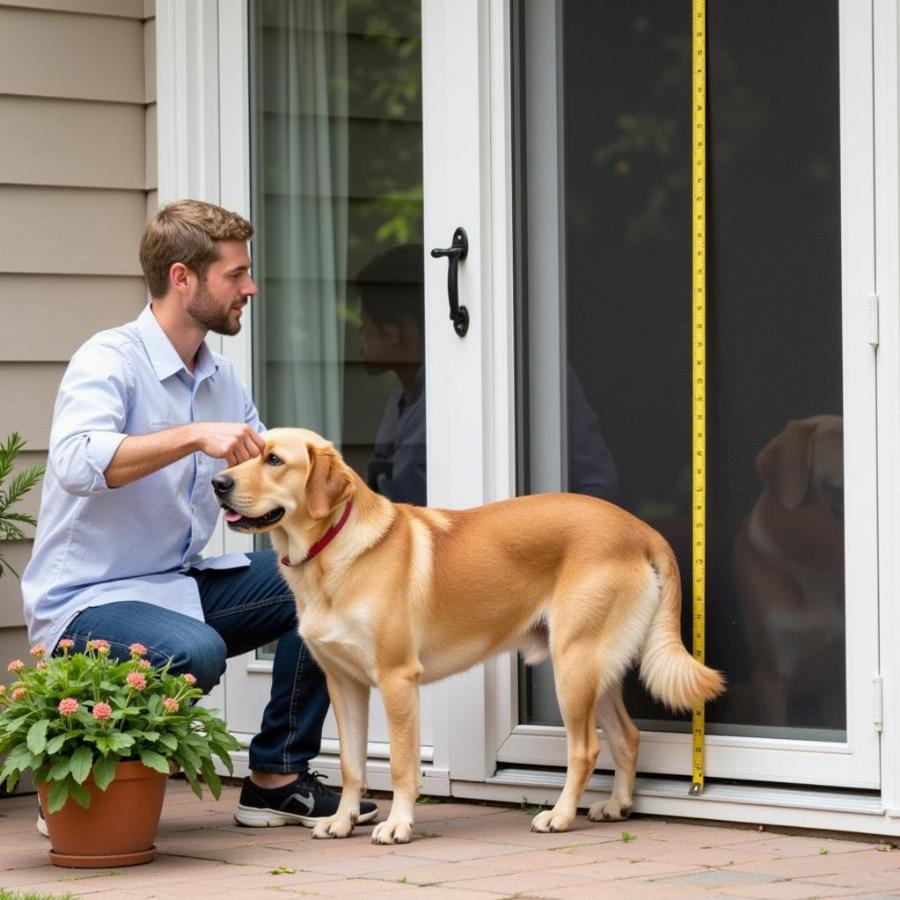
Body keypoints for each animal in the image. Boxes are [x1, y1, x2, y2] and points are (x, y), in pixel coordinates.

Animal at [214, 428, 728, 844]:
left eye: (273, 459)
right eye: (242, 456)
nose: (219, 483)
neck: (329, 555)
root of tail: (638, 528)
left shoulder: (397, 680)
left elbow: (400, 765)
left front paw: (399, 824)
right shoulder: (345, 684)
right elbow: (351, 764)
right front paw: (343, 821)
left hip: (574, 665)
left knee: (586, 748)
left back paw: (560, 816)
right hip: (595, 669)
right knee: (626, 736)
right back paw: (618, 805)